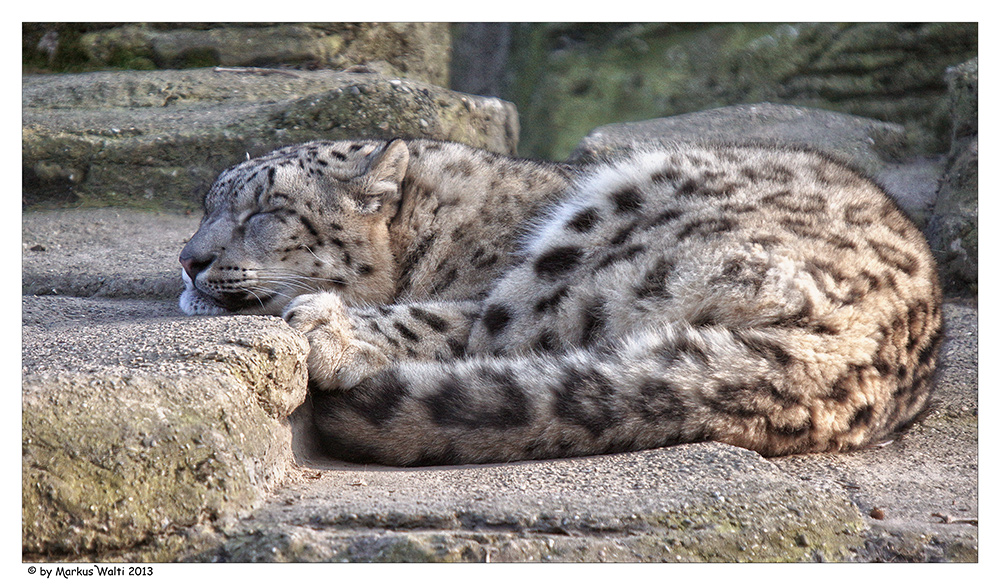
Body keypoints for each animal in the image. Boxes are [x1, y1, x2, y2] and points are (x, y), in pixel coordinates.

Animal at [182, 137, 944, 466]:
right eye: (207, 204)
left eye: (268, 211)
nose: (189, 260)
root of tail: (850, 350)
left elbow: (442, 315)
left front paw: (327, 322)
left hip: (590, 242)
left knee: (501, 335)